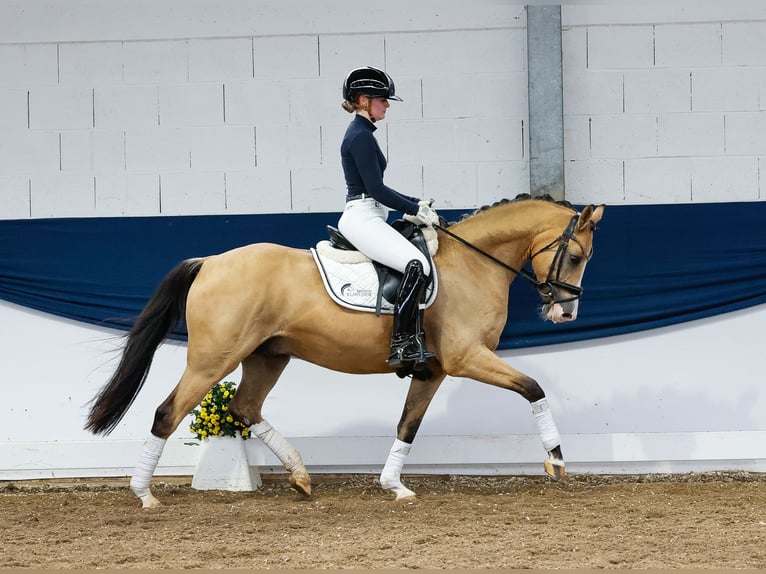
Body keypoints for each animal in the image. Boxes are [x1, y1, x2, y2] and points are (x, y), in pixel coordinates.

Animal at [85, 195, 608, 508]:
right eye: (575, 257)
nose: (565, 315)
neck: (473, 264)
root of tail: (210, 262)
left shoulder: (434, 370)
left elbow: (407, 425)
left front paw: (395, 485)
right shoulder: (466, 358)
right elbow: (533, 388)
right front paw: (557, 461)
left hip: (267, 356)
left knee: (244, 407)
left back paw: (300, 476)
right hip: (214, 359)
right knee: (167, 412)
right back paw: (144, 495)